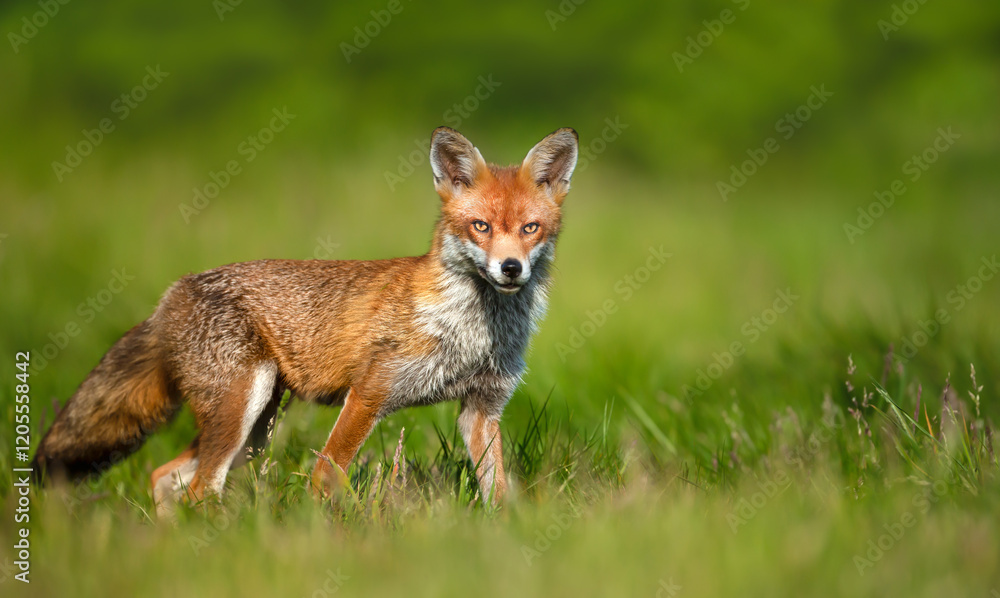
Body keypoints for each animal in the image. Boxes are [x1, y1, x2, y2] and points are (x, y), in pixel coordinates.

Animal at [32, 126, 579, 515]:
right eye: (480, 227)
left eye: (530, 228)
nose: (511, 268)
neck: (473, 332)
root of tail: (173, 293)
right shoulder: (369, 393)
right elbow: (327, 476)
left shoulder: (482, 409)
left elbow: (498, 492)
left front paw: (504, 536)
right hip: (241, 411)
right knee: (199, 490)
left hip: (253, 428)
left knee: (164, 478)